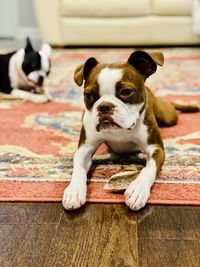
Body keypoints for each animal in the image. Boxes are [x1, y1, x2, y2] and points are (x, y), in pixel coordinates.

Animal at [62, 51, 198, 213]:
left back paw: (191, 107)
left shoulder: (156, 149)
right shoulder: (85, 149)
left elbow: (148, 170)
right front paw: (74, 190)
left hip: (168, 116)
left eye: (126, 92)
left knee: (171, 105)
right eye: (88, 96)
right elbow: (78, 170)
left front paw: (138, 190)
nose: (104, 106)